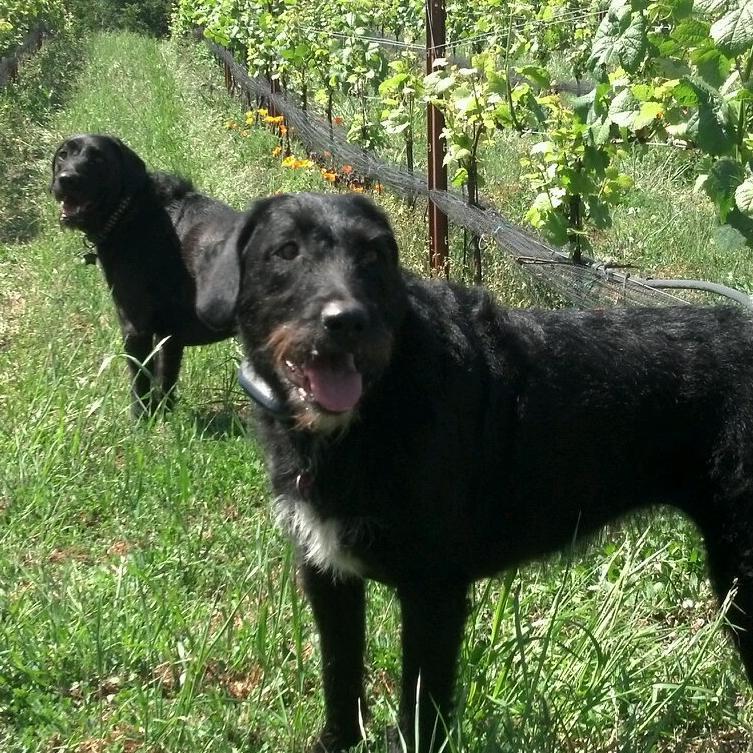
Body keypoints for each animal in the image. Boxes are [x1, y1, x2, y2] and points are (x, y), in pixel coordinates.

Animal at [51, 135, 239, 418]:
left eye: (98, 159)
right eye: (63, 154)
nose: (66, 178)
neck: (132, 211)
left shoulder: (135, 328)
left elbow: (140, 381)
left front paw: (140, 420)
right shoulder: (169, 336)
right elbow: (166, 379)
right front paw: (164, 417)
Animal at [195, 194, 752, 752]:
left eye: (373, 255)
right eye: (286, 250)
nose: (347, 321)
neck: (383, 401)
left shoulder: (432, 590)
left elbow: (422, 705)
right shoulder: (326, 570)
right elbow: (340, 672)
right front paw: (337, 741)